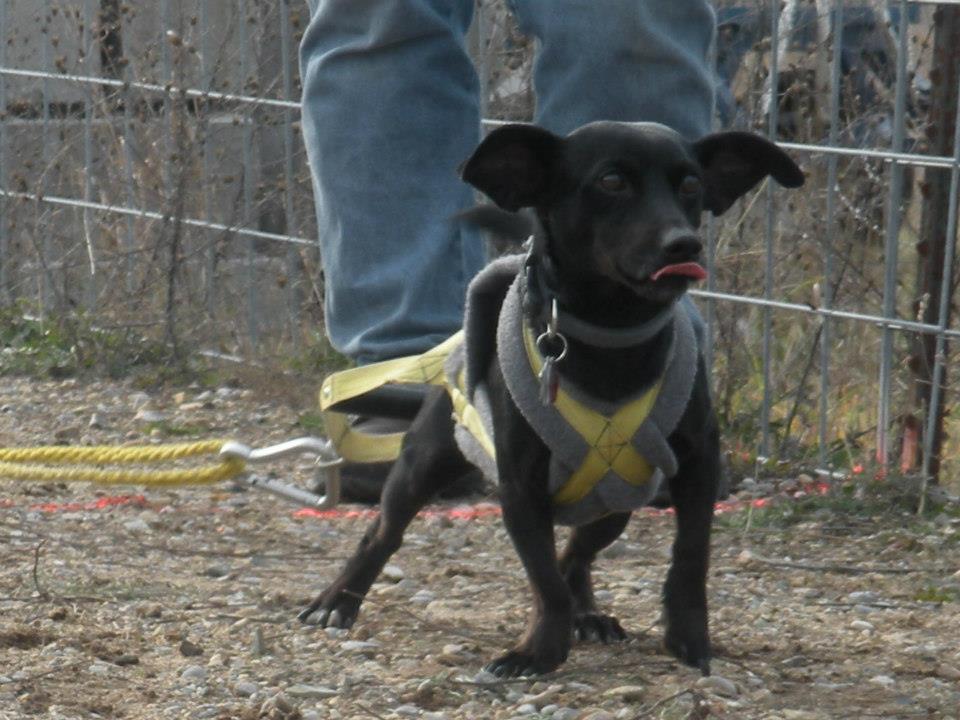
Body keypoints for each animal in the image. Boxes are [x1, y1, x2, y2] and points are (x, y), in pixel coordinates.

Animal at [300, 121, 804, 676]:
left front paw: (689, 640)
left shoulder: (698, 465)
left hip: (617, 499)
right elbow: (543, 578)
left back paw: (588, 615)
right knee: (384, 532)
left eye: (691, 185)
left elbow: (690, 556)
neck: (613, 335)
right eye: (611, 181)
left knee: (576, 555)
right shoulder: (519, 486)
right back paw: (338, 600)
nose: (684, 244)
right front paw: (538, 651)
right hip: (424, 460)